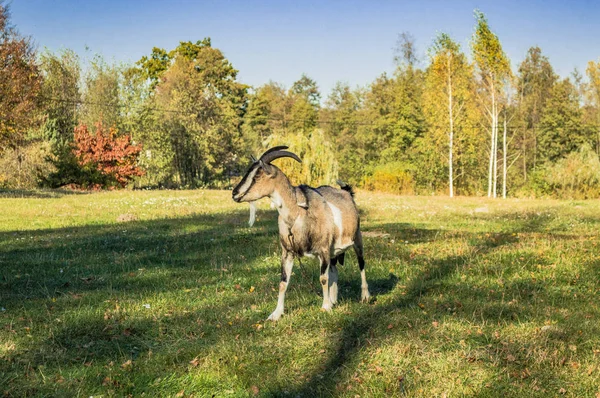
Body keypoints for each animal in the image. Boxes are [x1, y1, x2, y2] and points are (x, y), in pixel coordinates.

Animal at [232, 146, 368, 320]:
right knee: (334, 271)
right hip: (333, 251)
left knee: (361, 264)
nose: (234, 193)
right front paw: (276, 314)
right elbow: (283, 282)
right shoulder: (288, 252)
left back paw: (365, 296)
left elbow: (323, 279)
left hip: (357, 238)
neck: (297, 214)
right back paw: (333, 300)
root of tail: (347, 193)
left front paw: (324, 307)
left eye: (257, 175)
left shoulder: (323, 249)